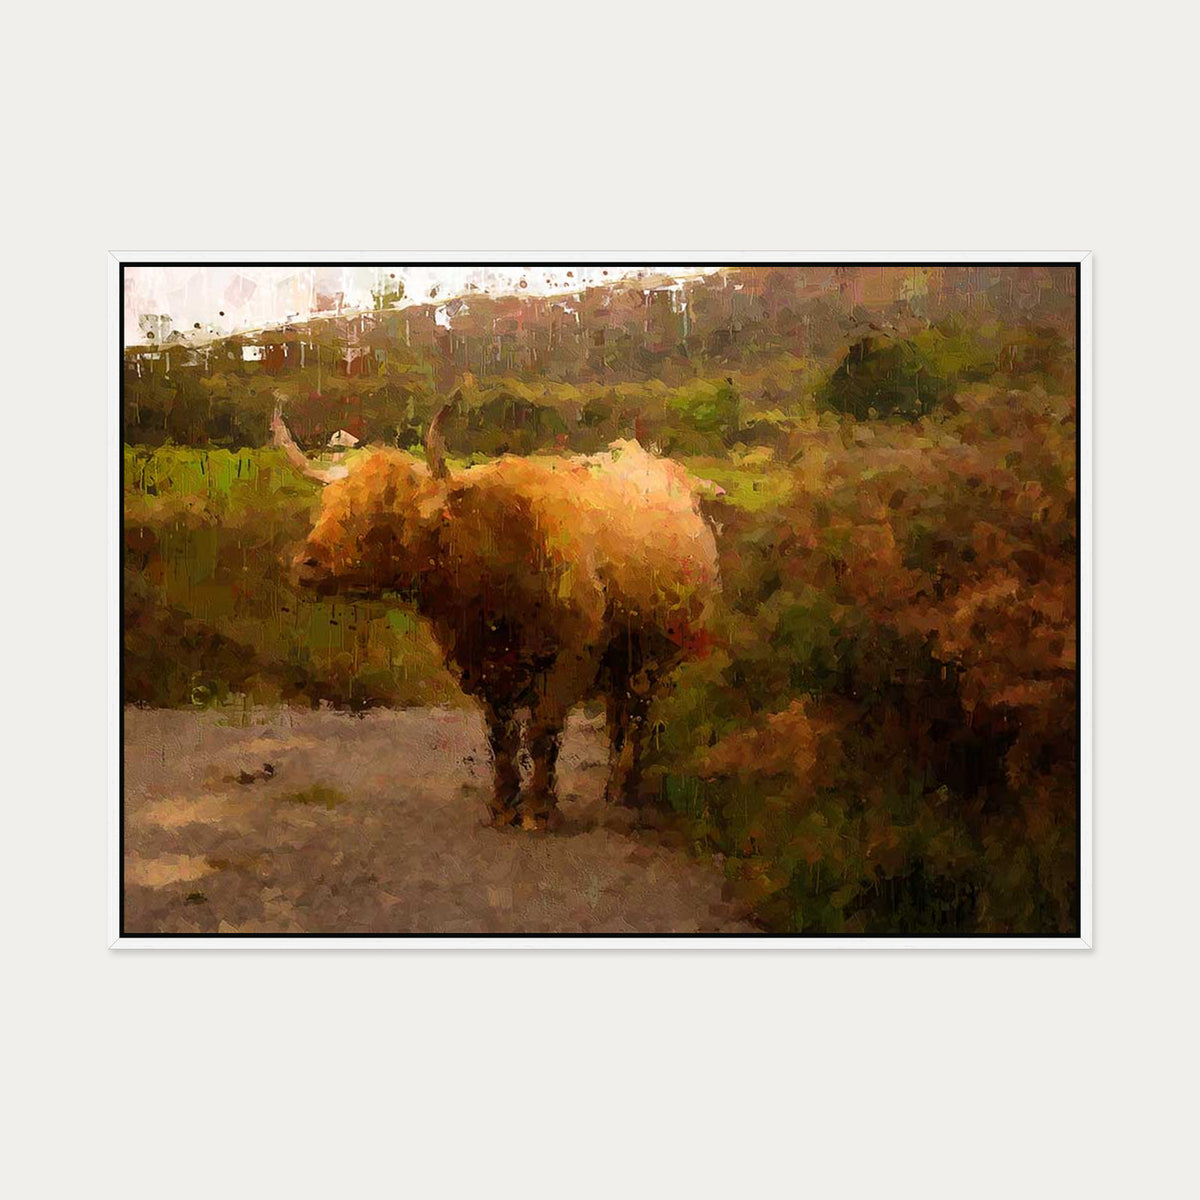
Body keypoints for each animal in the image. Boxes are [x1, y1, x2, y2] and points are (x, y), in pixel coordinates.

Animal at [278, 402, 719, 830]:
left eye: (385, 516)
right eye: (329, 504)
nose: (306, 564)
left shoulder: (567, 663)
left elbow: (542, 734)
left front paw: (538, 811)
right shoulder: (481, 668)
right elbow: (500, 736)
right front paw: (503, 805)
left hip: (656, 658)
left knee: (638, 714)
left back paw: (622, 787)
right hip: (622, 657)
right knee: (618, 714)